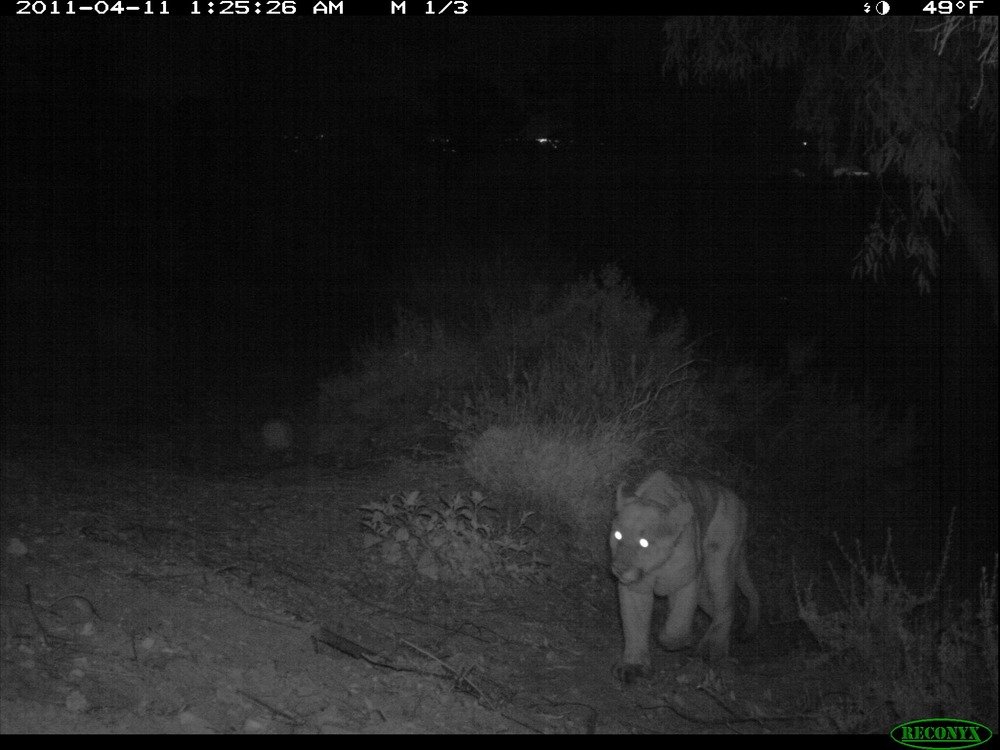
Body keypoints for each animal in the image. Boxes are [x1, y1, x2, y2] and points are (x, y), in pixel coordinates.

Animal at [609, 471, 759, 682]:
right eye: (618, 535)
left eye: (644, 542)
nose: (619, 568)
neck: (656, 567)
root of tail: (739, 502)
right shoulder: (635, 588)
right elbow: (634, 624)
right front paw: (633, 666)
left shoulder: (684, 581)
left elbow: (678, 623)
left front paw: (673, 640)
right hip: (705, 585)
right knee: (717, 609)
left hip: (719, 562)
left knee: (727, 604)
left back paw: (714, 651)